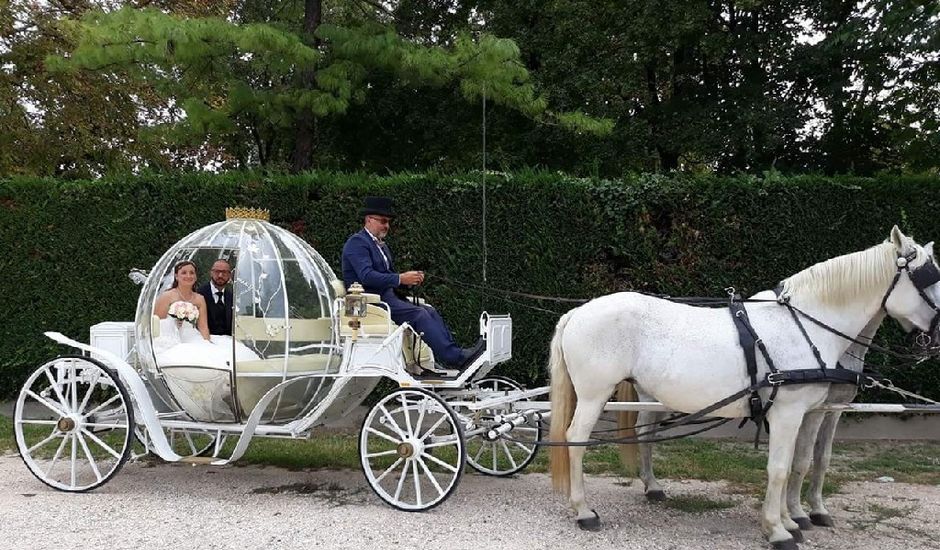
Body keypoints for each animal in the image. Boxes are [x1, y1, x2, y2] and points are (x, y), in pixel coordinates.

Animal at [552, 226, 940, 548]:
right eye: (928, 278)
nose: (935, 339)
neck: (806, 324)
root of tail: (578, 312)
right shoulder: (788, 412)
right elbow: (780, 468)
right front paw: (779, 530)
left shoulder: (805, 412)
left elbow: (795, 463)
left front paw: (792, 520)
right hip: (593, 395)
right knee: (576, 439)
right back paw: (583, 511)